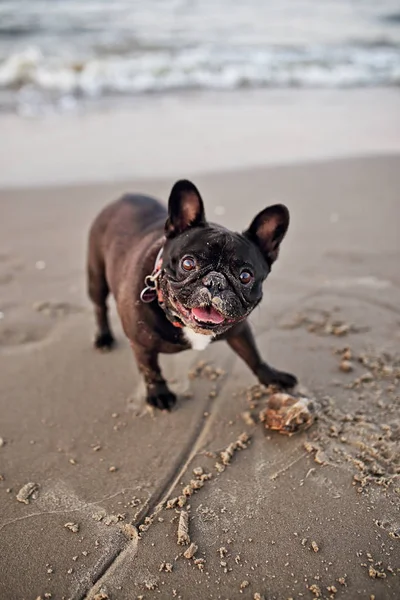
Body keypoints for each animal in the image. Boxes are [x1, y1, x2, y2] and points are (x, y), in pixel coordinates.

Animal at [86, 180, 296, 410]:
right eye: (188, 263)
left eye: (245, 276)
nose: (215, 282)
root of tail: (124, 196)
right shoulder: (141, 344)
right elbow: (151, 369)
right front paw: (159, 393)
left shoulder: (240, 330)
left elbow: (252, 353)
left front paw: (271, 377)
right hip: (96, 277)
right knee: (99, 306)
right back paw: (103, 338)